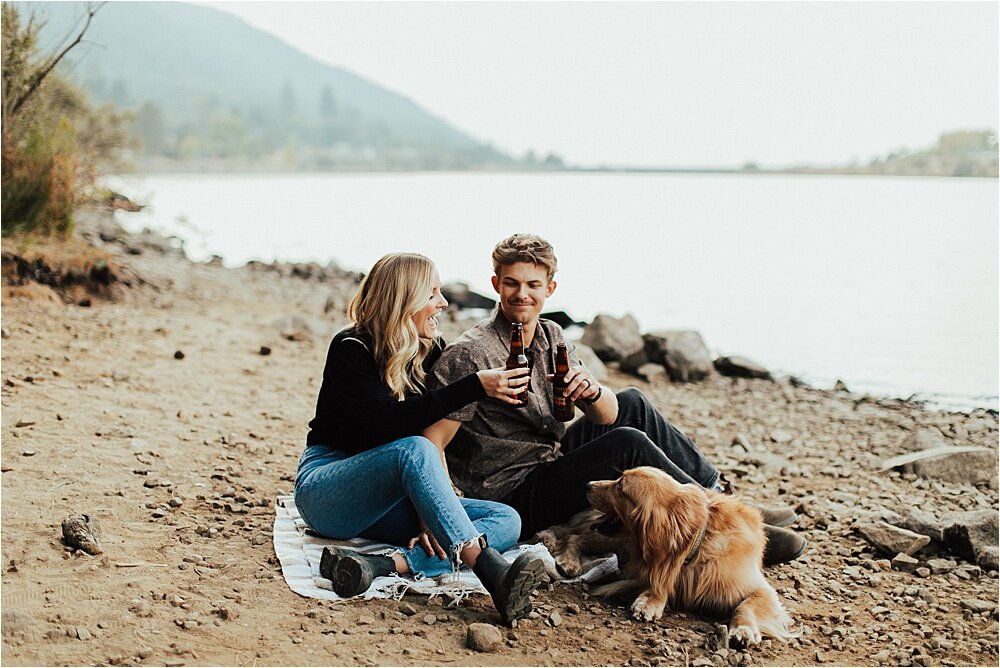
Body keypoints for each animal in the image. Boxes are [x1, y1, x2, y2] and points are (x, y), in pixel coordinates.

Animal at [584, 468, 788, 644]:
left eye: (620, 485)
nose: (588, 484)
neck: (697, 546)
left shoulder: (760, 590)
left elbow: (745, 606)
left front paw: (744, 629)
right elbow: (659, 580)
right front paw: (651, 600)